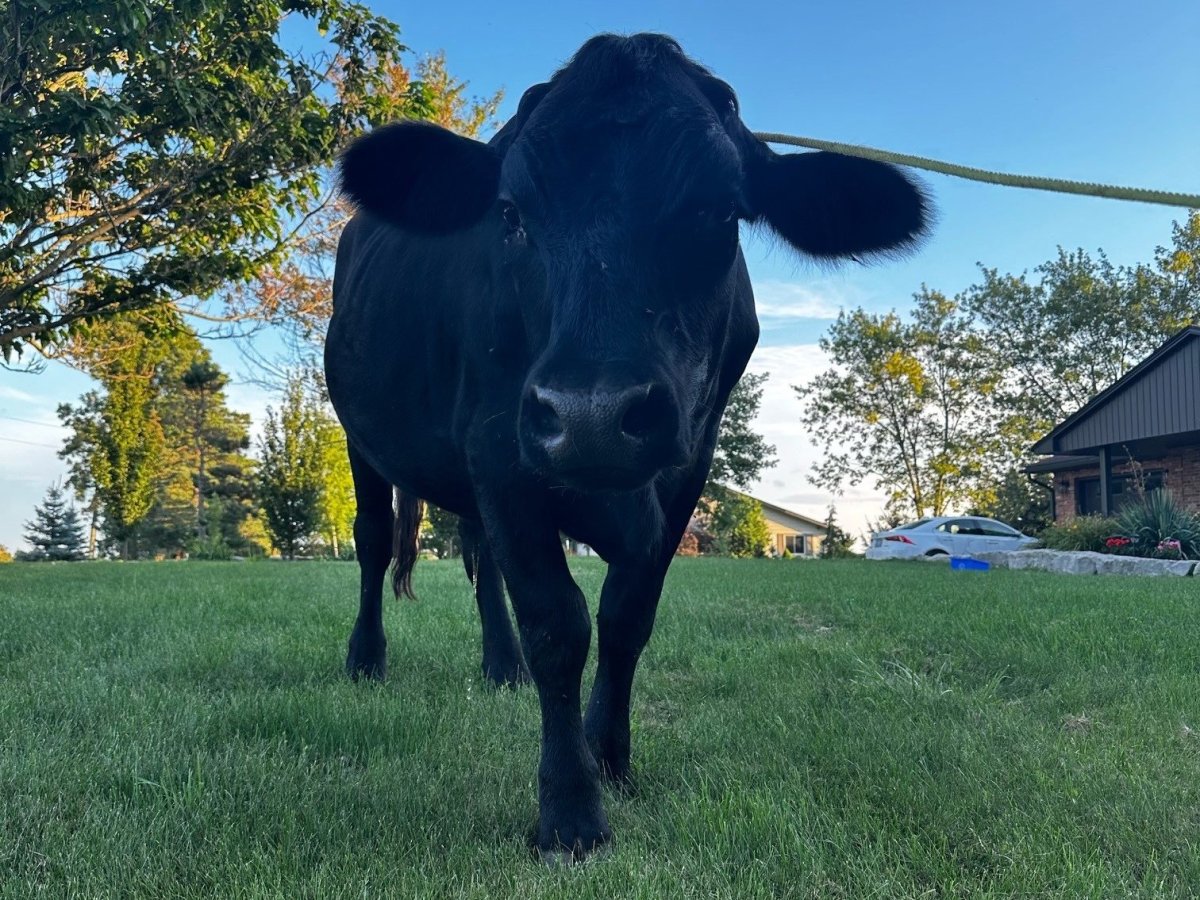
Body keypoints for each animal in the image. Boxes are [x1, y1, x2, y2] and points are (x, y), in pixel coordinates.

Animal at [321, 31, 926, 864]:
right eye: (510, 213)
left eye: (721, 209)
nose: (593, 414)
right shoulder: (500, 446)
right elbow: (557, 623)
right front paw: (569, 809)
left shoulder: (686, 467)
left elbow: (626, 617)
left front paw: (609, 759)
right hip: (362, 434)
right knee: (376, 540)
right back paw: (366, 659)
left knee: (477, 559)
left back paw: (499, 665)